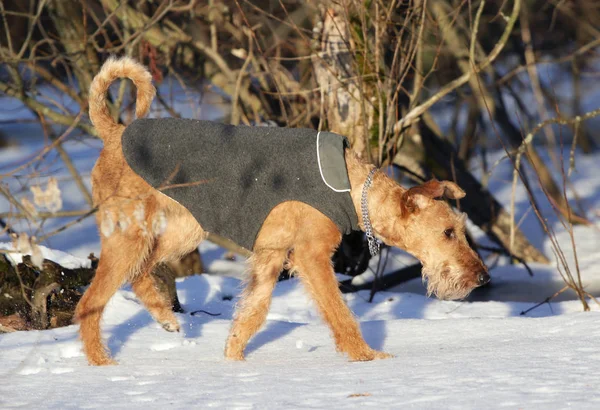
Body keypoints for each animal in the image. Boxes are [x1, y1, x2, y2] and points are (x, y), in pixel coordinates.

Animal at [75, 56, 488, 366]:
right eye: (448, 232)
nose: (482, 278)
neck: (352, 189)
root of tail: (114, 133)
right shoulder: (311, 255)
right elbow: (339, 312)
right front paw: (367, 357)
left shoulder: (270, 256)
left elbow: (253, 313)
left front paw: (234, 361)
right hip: (129, 235)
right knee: (89, 302)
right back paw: (102, 365)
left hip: (182, 232)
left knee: (140, 274)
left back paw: (165, 320)